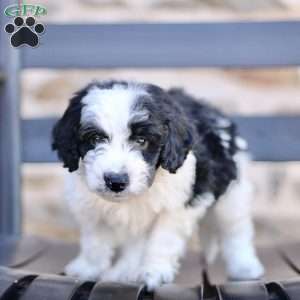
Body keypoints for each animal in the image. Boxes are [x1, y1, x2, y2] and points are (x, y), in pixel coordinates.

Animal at [52, 81, 264, 290]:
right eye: (95, 139)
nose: (116, 181)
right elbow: (95, 240)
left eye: (142, 141)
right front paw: (88, 268)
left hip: (232, 194)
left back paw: (244, 266)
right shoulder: (91, 207)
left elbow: (162, 240)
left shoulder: (176, 207)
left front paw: (153, 271)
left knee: (235, 230)